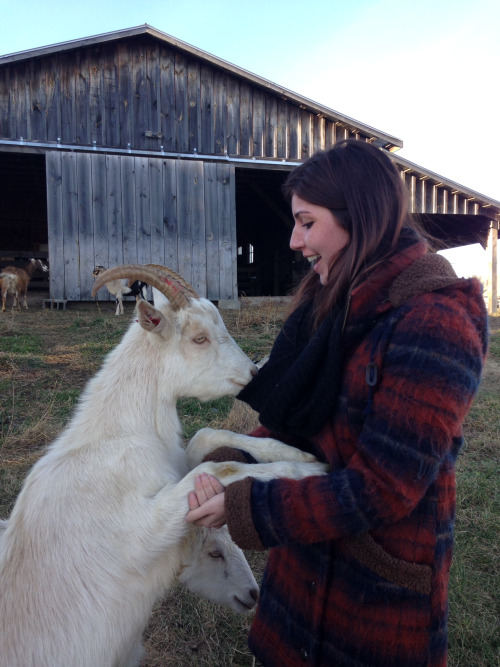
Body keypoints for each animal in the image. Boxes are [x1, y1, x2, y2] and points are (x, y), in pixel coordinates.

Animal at [0, 264, 328, 667]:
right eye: (199, 338)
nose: (253, 373)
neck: (116, 435)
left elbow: (205, 437)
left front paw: (296, 454)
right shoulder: (137, 537)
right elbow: (210, 471)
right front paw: (310, 473)